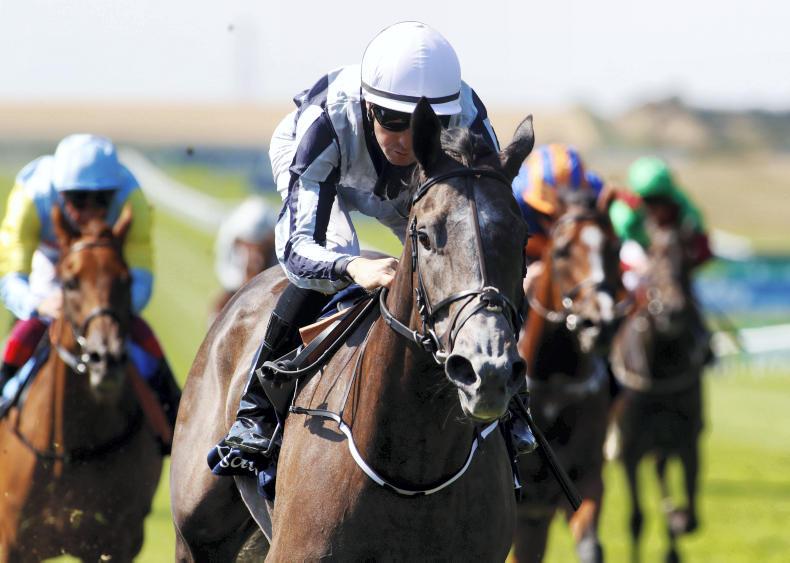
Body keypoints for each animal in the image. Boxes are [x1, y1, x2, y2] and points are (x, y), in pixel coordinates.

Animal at [0, 207, 162, 562]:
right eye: (70, 282)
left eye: (126, 280)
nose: (106, 358)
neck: (73, 447)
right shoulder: (12, 538)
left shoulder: (119, 541)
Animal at [609, 225, 709, 563]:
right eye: (652, 259)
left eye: (686, 262)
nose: (674, 310)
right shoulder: (630, 447)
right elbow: (636, 519)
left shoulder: (687, 440)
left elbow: (691, 518)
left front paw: (677, 520)